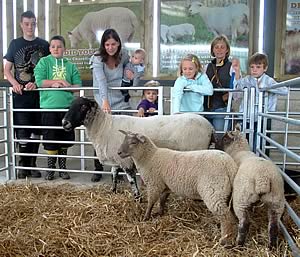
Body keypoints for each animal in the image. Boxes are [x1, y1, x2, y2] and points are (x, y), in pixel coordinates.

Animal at [62, 96, 214, 198]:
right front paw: (113, 191)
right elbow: (113, 174)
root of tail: (210, 127)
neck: (103, 127)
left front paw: (137, 198)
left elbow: (131, 180)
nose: (64, 122)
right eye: (70, 105)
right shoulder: (116, 159)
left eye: (83, 106)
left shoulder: (126, 161)